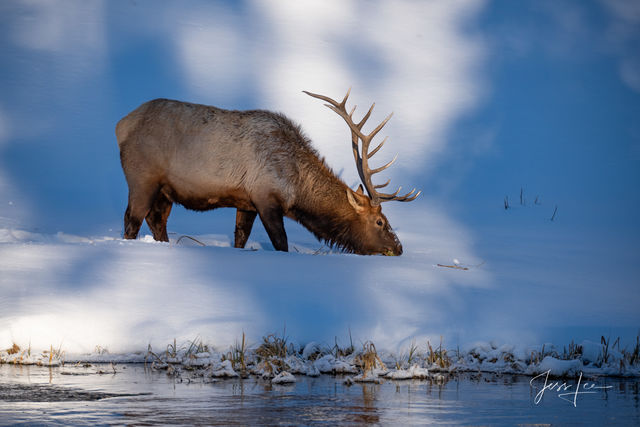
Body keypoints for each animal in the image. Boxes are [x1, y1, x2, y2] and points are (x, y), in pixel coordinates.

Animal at [116, 89, 420, 256]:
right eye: (380, 221)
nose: (399, 248)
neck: (297, 189)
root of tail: (121, 125)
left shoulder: (245, 201)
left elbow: (240, 237)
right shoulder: (266, 197)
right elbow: (281, 243)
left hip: (165, 191)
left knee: (157, 221)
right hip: (142, 177)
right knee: (132, 220)